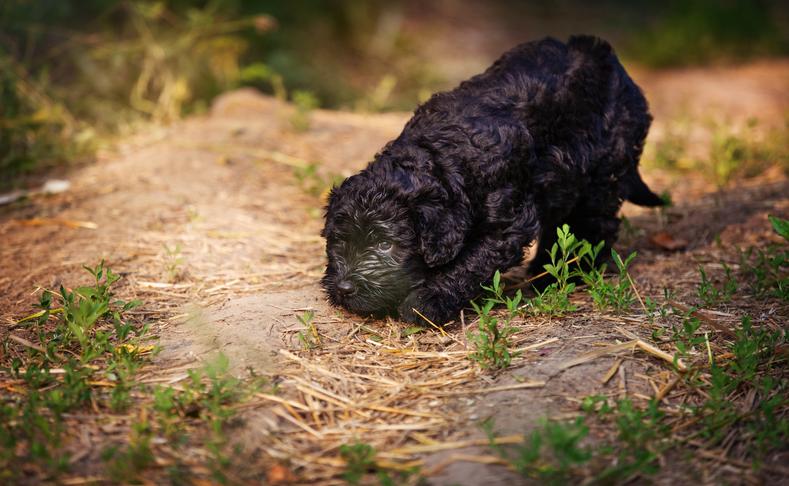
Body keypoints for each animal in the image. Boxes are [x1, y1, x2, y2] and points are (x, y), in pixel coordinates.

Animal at [318, 36, 660, 324]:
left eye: (386, 244)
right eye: (339, 240)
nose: (345, 288)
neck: (442, 157)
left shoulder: (506, 224)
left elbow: (469, 264)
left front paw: (426, 302)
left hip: (603, 172)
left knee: (597, 224)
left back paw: (572, 273)